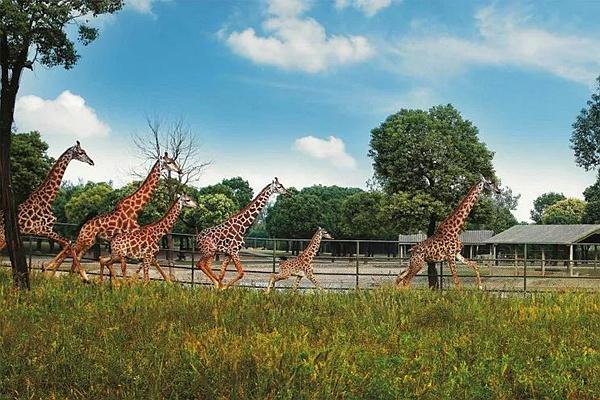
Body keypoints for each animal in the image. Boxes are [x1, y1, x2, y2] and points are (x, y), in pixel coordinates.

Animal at [0, 141, 94, 278]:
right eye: (81, 152)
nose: (92, 162)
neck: (47, 201)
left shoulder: (47, 231)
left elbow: (68, 243)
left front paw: (47, 269)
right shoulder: (44, 230)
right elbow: (68, 243)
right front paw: (84, 275)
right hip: (2, 235)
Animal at [43, 153, 182, 282]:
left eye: (174, 161)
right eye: (169, 162)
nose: (180, 171)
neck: (135, 209)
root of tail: (84, 225)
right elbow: (144, 261)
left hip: (91, 241)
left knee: (76, 254)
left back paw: (71, 277)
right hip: (85, 239)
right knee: (71, 250)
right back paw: (52, 273)